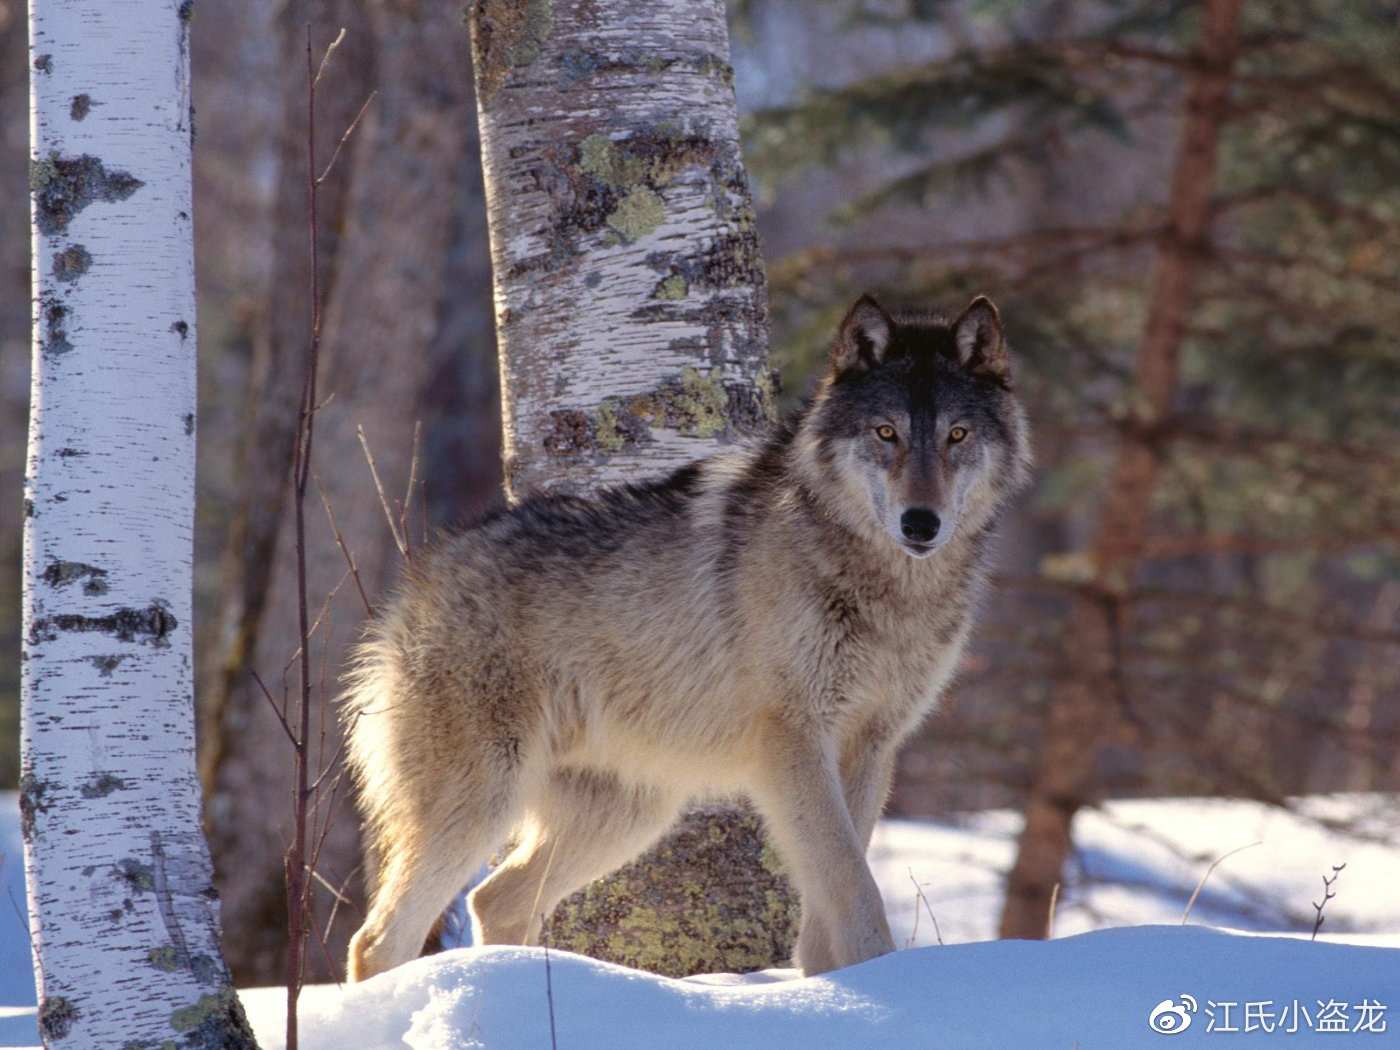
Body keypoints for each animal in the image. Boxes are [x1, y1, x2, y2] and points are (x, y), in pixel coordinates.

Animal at [344, 292, 1036, 985]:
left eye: (956, 435)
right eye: (886, 433)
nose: (921, 523)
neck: (889, 592)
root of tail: (415, 581)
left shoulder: (870, 748)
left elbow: (833, 898)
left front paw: (831, 990)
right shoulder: (791, 742)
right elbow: (855, 887)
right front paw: (875, 985)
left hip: (630, 817)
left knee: (494, 899)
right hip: (485, 801)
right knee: (377, 940)